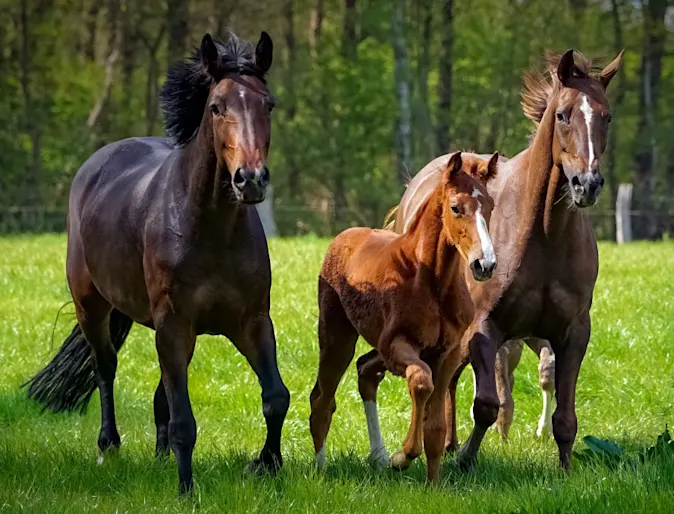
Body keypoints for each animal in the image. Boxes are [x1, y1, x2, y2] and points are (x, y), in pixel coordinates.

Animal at [24, 31, 288, 492]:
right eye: (216, 106)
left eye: (267, 104)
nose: (250, 179)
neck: (210, 229)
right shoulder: (174, 323)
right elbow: (185, 421)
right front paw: (186, 489)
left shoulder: (251, 321)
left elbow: (275, 397)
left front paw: (267, 466)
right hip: (92, 305)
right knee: (105, 366)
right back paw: (109, 444)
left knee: (160, 388)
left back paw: (160, 455)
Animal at [310, 152, 498, 480]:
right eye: (455, 207)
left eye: (490, 206)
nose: (484, 264)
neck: (432, 280)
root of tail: (344, 236)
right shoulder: (396, 345)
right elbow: (421, 381)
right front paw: (404, 455)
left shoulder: (447, 353)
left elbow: (436, 426)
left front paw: (433, 483)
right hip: (336, 338)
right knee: (323, 400)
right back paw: (322, 471)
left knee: (363, 374)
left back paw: (377, 457)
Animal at [376, 49, 624, 468]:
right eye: (562, 114)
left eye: (606, 117)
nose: (586, 185)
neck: (543, 236)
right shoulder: (485, 328)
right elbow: (487, 405)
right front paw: (465, 461)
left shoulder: (573, 331)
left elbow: (565, 416)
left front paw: (565, 468)